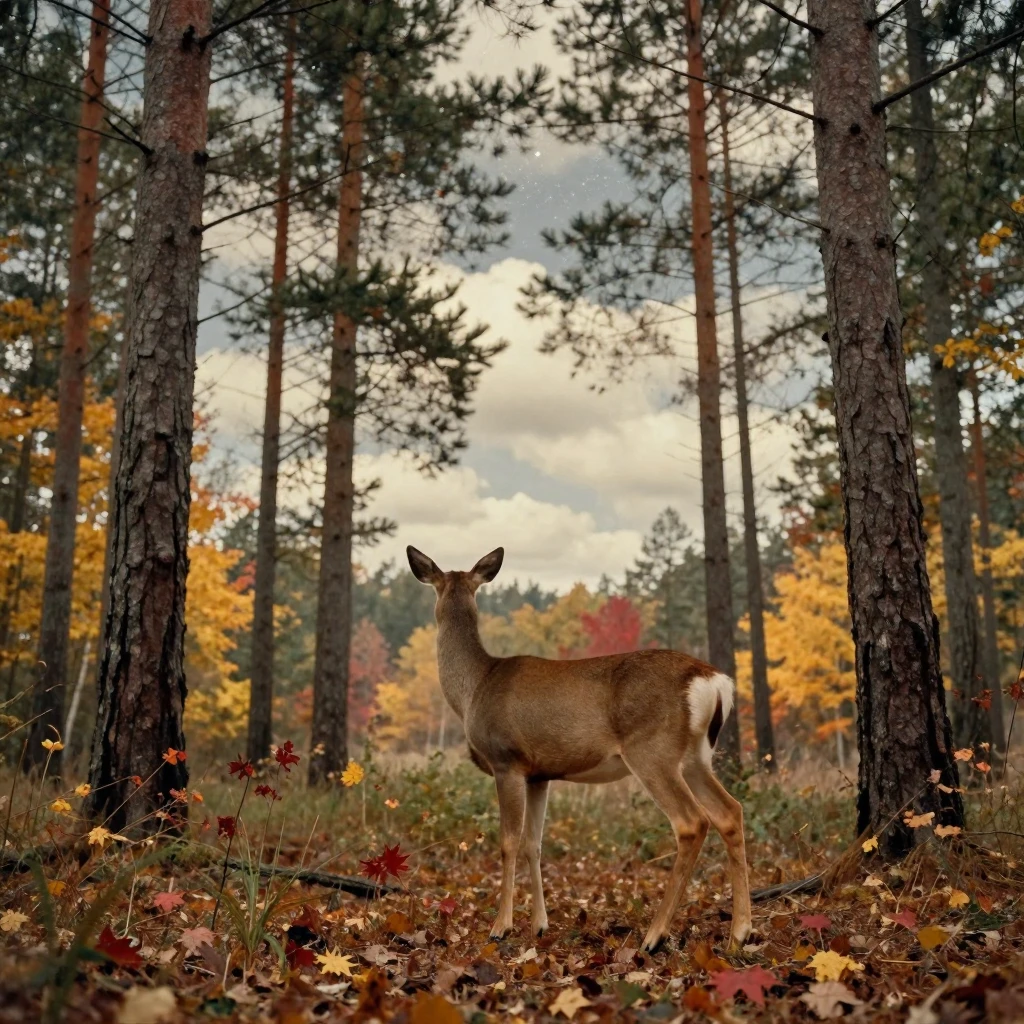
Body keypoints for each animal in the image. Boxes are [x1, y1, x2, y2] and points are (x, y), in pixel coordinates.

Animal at [407, 544, 752, 953]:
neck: (474, 687)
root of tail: (714, 682)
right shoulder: (538, 774)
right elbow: (533, 843)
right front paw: (539, 924)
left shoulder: (507, 761)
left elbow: (508, 842)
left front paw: (501, 926)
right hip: (696, 756)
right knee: (730, 811)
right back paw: (741, 932)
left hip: (653, 749)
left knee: (691, 821)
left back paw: (655, 935)